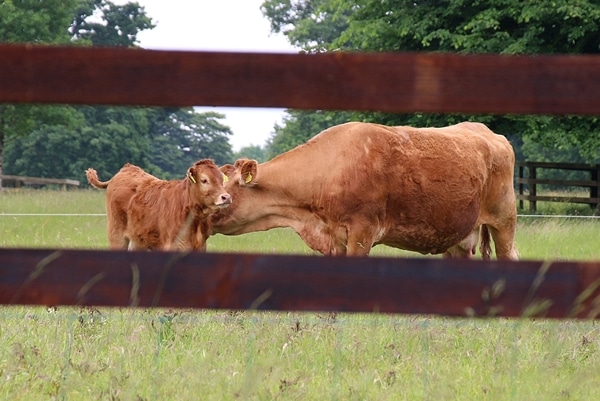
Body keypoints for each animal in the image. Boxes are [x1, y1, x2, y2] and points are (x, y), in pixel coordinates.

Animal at [85, 159, 231, 250]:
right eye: (204, 180)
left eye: (221, 180)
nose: (226, 197)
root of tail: (127, 168)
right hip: (116, 236)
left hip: (138, 240)